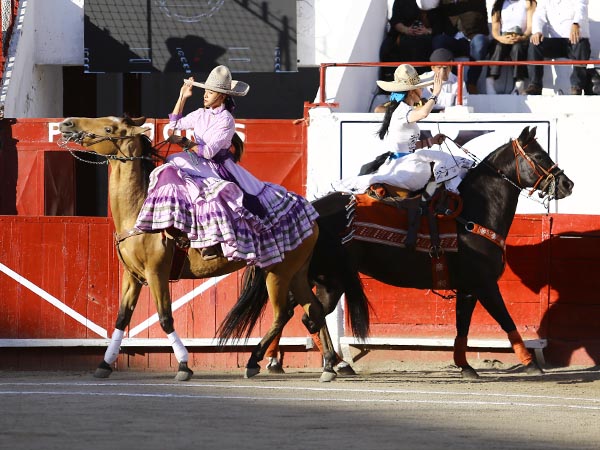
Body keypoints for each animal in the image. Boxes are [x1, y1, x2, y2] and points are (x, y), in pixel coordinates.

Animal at [58, 115, 330, 380]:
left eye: (108, 128)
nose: (67, 123)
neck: (139, 209)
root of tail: (313, 216)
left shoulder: (156, 273)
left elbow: (165, 318)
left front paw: (183, 365)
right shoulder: (132, 275)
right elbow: (122, 318)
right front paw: (105, 363)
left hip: (278, 273)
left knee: (282, 314)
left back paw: (254, 361)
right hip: (296, 273)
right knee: (314, 309)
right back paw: (329, 365)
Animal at [219, 126, 572, 380]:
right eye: (539, 155)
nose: (567, 184)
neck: (474, 213)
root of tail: (309, 211)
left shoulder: (467, 289)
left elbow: (462, 328)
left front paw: (465, 366)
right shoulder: (484, 285)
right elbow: (505, 318)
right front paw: (530, 362)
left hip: (321, 279)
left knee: (302, 312)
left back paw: (314, 363)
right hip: (329, 279)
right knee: (306, 314)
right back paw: (297, 362)